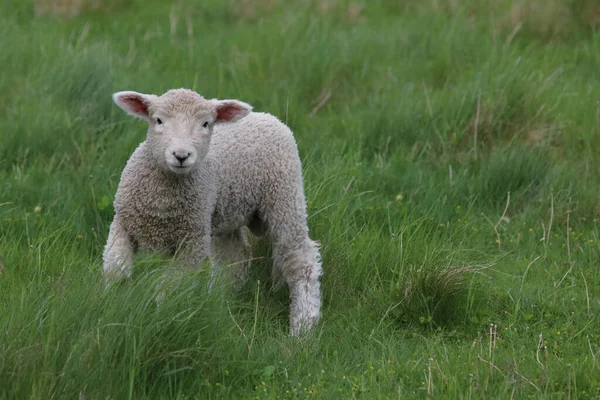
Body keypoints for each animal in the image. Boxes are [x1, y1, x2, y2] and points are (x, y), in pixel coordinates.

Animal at [102, 89, 324, 336]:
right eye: (158, 120)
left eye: (206, 123)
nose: (181, 155)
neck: (162, 203)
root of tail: (266, 116)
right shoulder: (122, 224)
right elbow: (116, 271)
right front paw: (113, 308)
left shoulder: (193, 241)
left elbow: (169, 287)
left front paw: (161, 321)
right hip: (226, 213)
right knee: (234, 258)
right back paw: (219, 302)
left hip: (284, 196)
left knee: (300, 260)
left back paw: (302, 328)